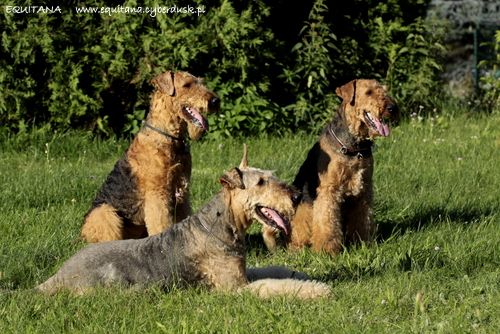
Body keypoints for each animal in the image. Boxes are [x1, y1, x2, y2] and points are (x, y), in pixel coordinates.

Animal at [36, 146, 332, 300]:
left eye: (270, 175)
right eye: (260, 182)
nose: (297, 196)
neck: (222, 225)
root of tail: (55, 277)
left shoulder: (240, 272)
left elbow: (274, 271)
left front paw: (300, 274)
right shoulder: (235, 287)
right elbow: (275, 285)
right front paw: (319, 290)